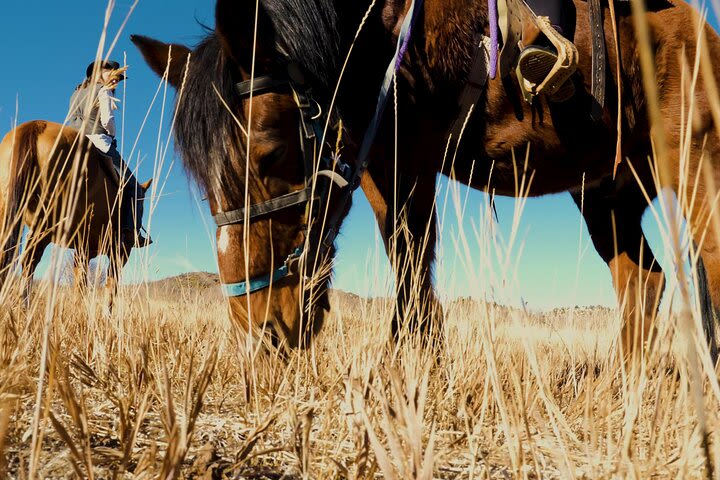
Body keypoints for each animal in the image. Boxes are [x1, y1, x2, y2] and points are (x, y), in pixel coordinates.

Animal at [0, 120, 150, 300]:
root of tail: (35, 126)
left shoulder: (84, 248)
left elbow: (81, 282)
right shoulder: (120, 251)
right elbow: (109, 284)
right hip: (45, 224)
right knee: (31, 260)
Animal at [134, 0, 720, 360]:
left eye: (270, 152)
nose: (260, 330)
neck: (380, 31)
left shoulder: (406, 160)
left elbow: (413, 264)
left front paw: (409, 372)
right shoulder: (374, 161)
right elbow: (406, 261)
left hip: (694, 162)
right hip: (606, 194)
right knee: (642, 282)